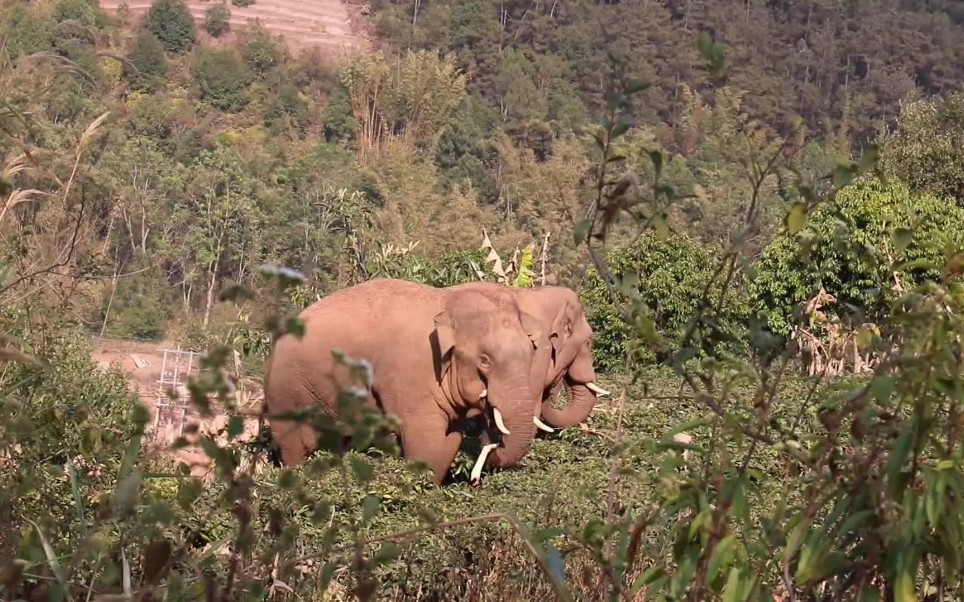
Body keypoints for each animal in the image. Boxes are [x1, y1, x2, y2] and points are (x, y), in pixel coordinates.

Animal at [262, 276, 548, 482]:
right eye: (485, 360)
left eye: (531, 352)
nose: (488, 446)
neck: (447, 302)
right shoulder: (409, 375)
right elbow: (425, 442)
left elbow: (445, 441)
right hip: (286, 393)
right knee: (296, 448)